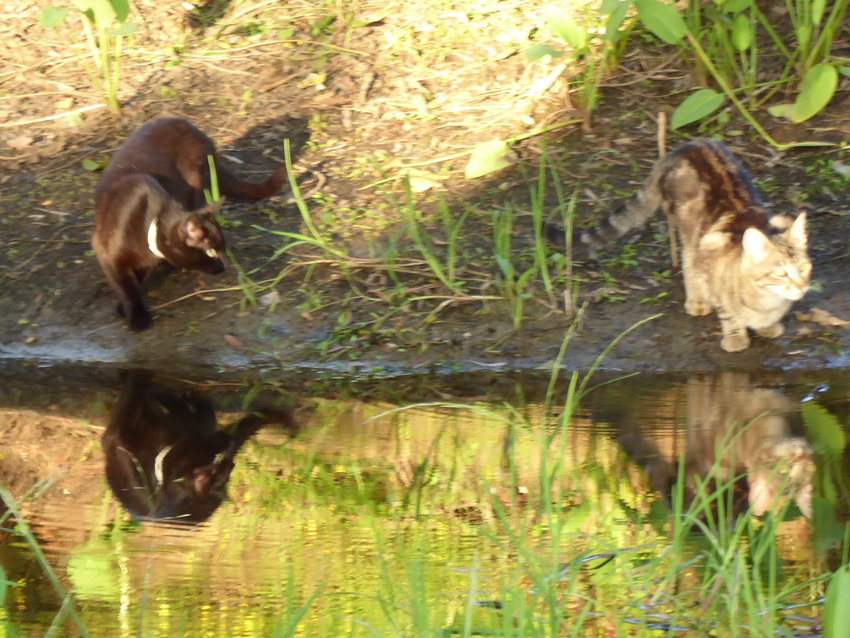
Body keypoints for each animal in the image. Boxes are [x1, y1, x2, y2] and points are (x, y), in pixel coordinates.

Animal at [92, 117, 290, 332]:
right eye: (210, 252)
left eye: (224, 248)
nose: (225, 264)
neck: (149, 224)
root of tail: (196, 130)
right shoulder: (107, 253)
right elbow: (126, 285)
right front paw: (136, 317)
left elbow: (138, 280)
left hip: (197, 180)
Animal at [576, 139, 808, 356]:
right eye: (780, 272)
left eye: (804, 267)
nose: (801, 286)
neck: (767, 302)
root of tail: (690, 145)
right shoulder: (711, 252)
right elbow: (728, 314)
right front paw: (735, 337)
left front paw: (768, 327)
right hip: (689, 231)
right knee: (689, 262)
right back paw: (697, 301)